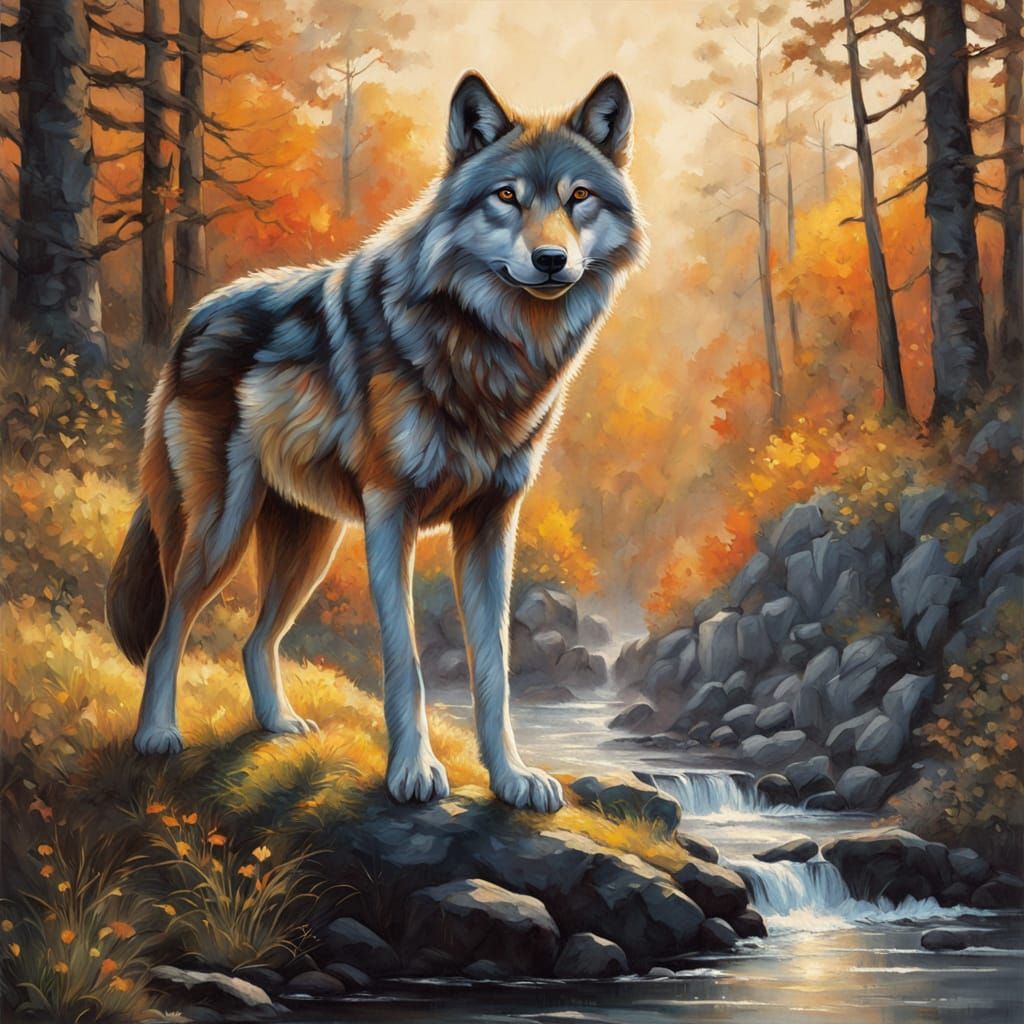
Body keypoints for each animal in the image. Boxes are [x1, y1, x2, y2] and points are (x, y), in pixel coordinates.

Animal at [106, 72, 647, 812]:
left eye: (579, 198)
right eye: (507, 196)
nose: (550, 259)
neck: (486, 350)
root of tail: (193, 320)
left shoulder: (490, 524)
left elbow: (495, 669)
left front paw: (510, 779)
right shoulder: (392, 516)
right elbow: (407, 663)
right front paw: (413, 773)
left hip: (311, 547)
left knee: (254, 640)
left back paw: (277, 725)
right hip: (224, 531)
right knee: (170, 625)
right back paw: (156, 734)